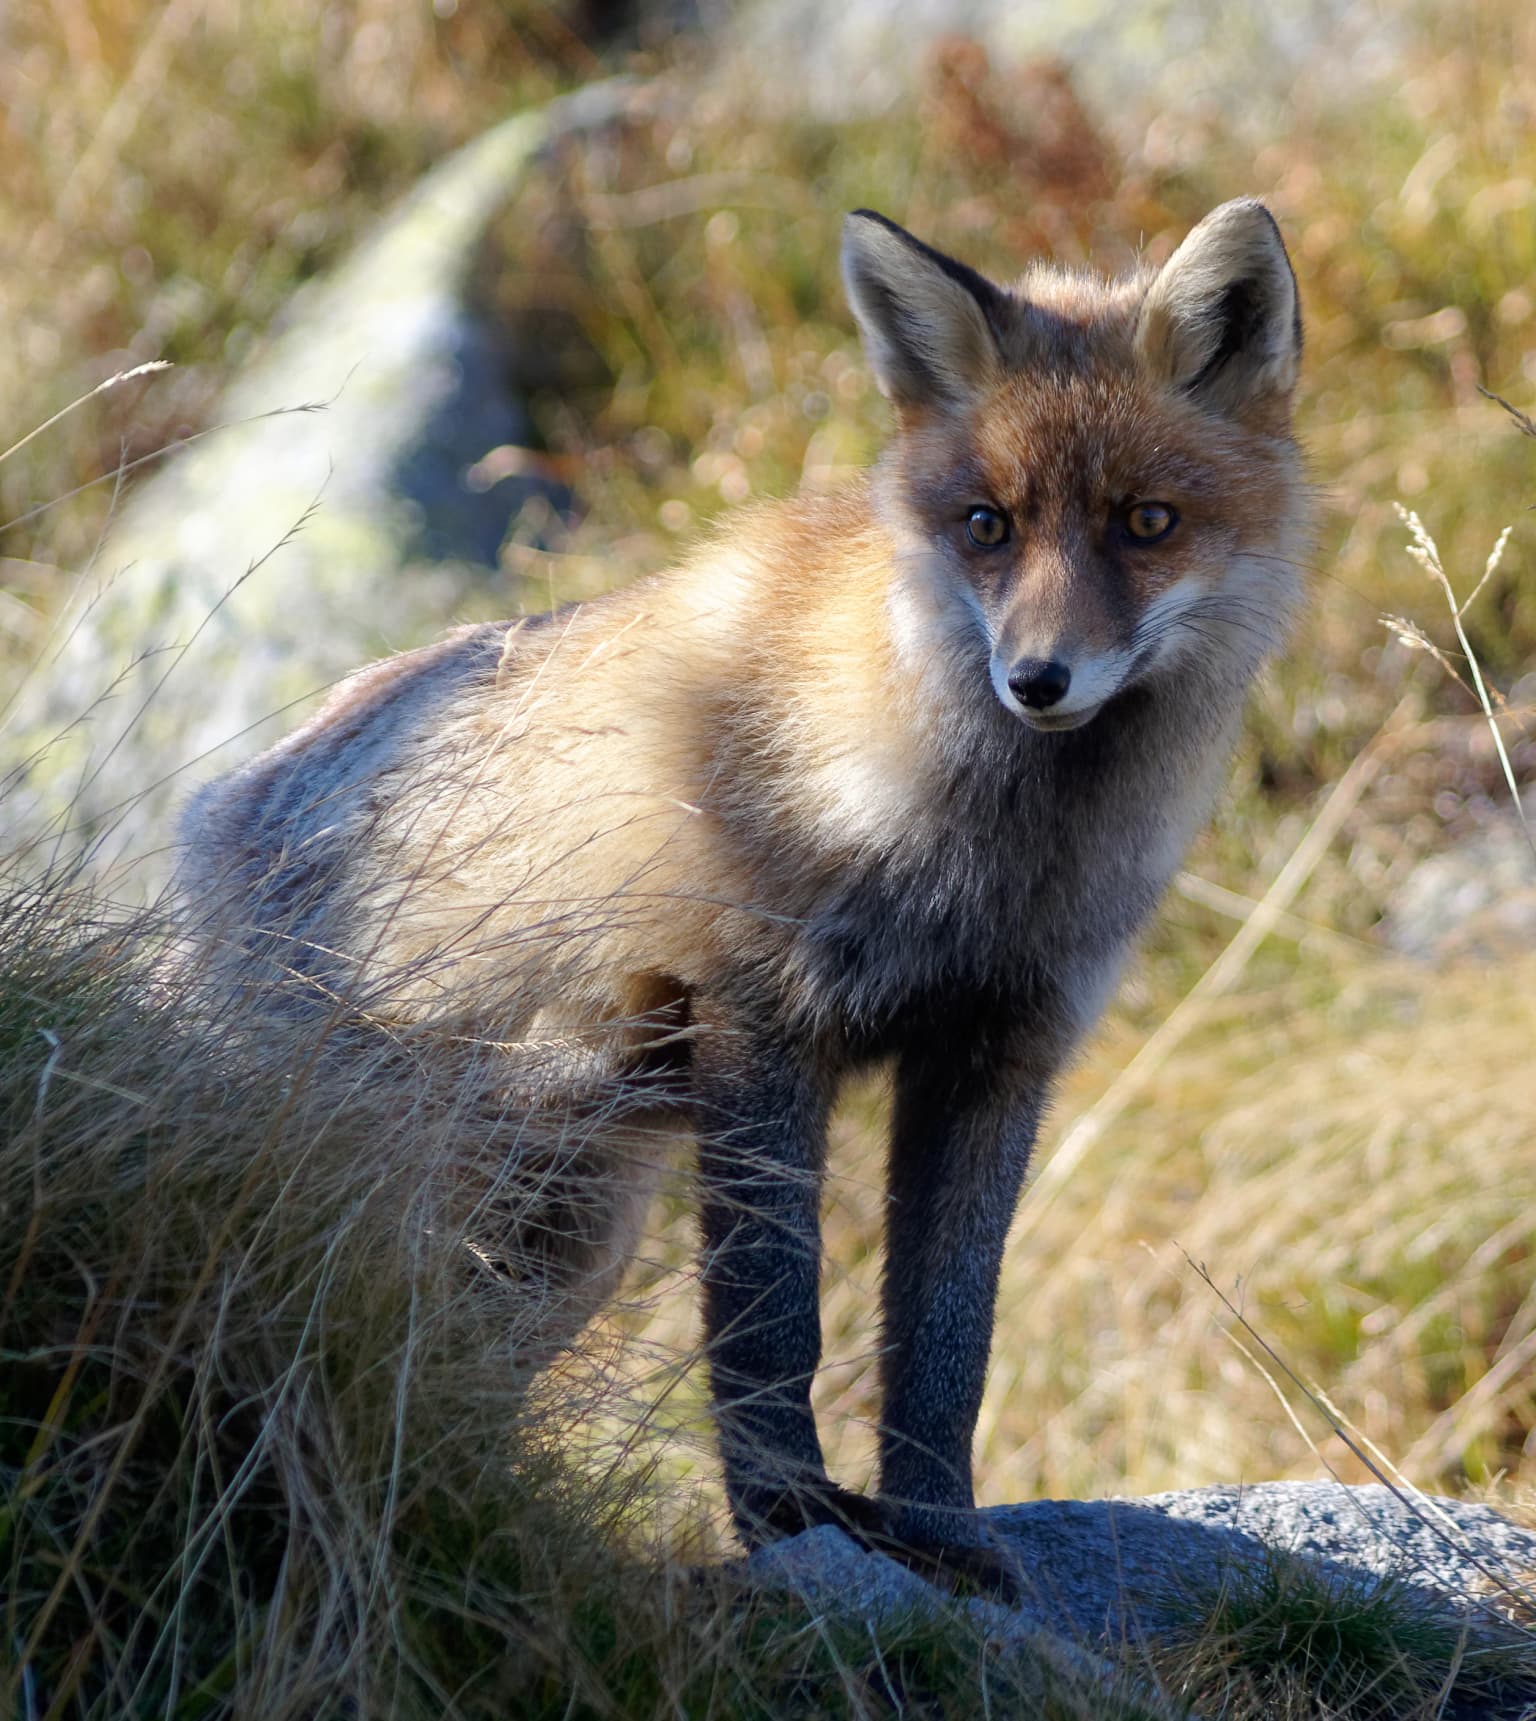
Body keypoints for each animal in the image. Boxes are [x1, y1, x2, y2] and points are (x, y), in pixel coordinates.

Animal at [178, 197, 1309, 1593]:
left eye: (1147, 522)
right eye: (986, 525)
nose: (1037, 679)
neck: (982, 858)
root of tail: (208, 815)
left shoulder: (998, 1053)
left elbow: (949, 1345)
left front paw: (944, 1535)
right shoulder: (760, 1021)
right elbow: (774, 1321)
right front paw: (785, 1518)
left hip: (566, 1243)